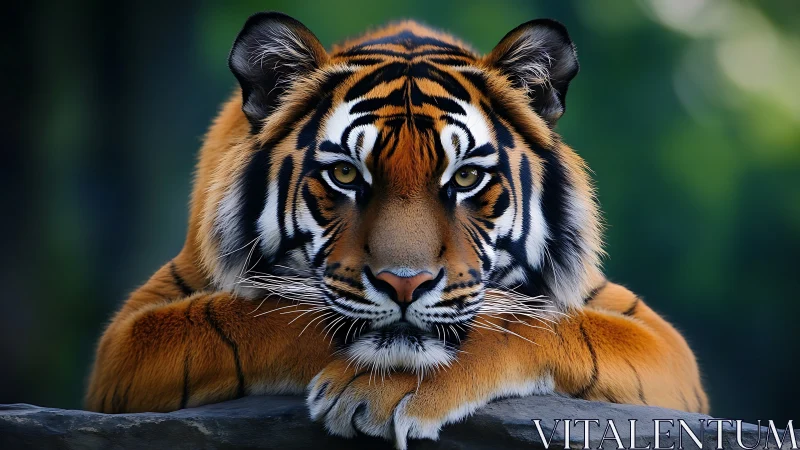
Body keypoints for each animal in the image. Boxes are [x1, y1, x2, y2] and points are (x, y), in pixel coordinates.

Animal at [85, 11, 708, 449]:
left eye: (466, 177)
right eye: (344, 174)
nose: (404, 284)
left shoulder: (666, 349)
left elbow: (533, 323)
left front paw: (393, 384)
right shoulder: (125, 340)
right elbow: (267, 312)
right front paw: (381, 374)